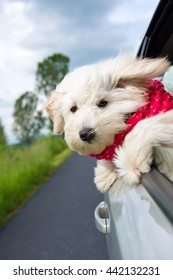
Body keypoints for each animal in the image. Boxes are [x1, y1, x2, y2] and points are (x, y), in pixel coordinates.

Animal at [45, 55, 173, 194]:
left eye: (103, 103)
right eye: (73, 109)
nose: (86, 134)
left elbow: (142, 127)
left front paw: (131, 161)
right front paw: (105, 171)